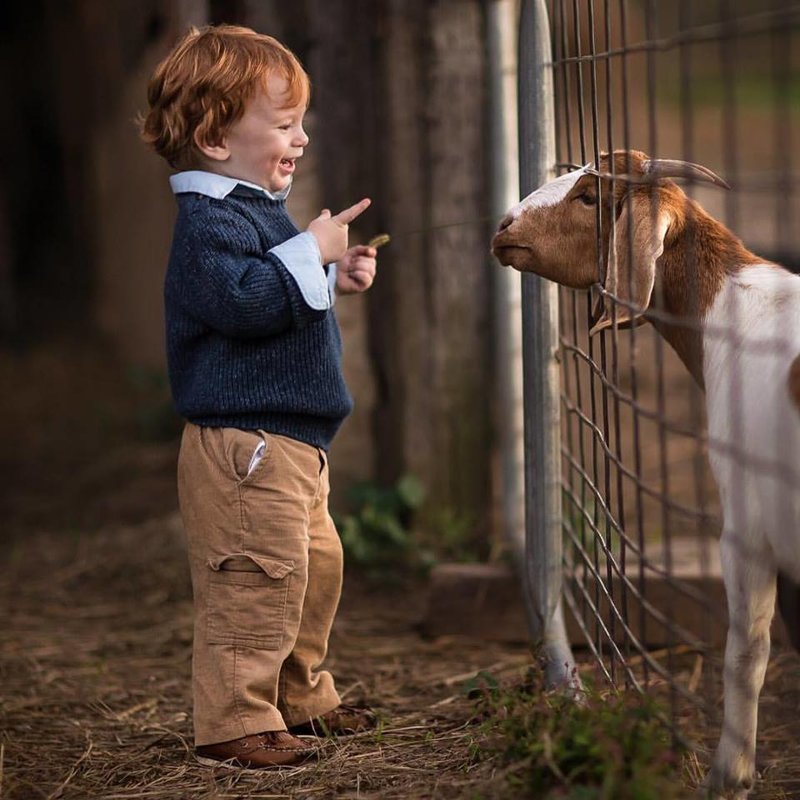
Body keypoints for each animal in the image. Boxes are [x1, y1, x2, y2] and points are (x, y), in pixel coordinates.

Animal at [494, 152, 800, 800]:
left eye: (589, 197)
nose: (503, 228)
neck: (736, 310)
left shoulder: (748, 528)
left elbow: (747, 651)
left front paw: (729, 774)